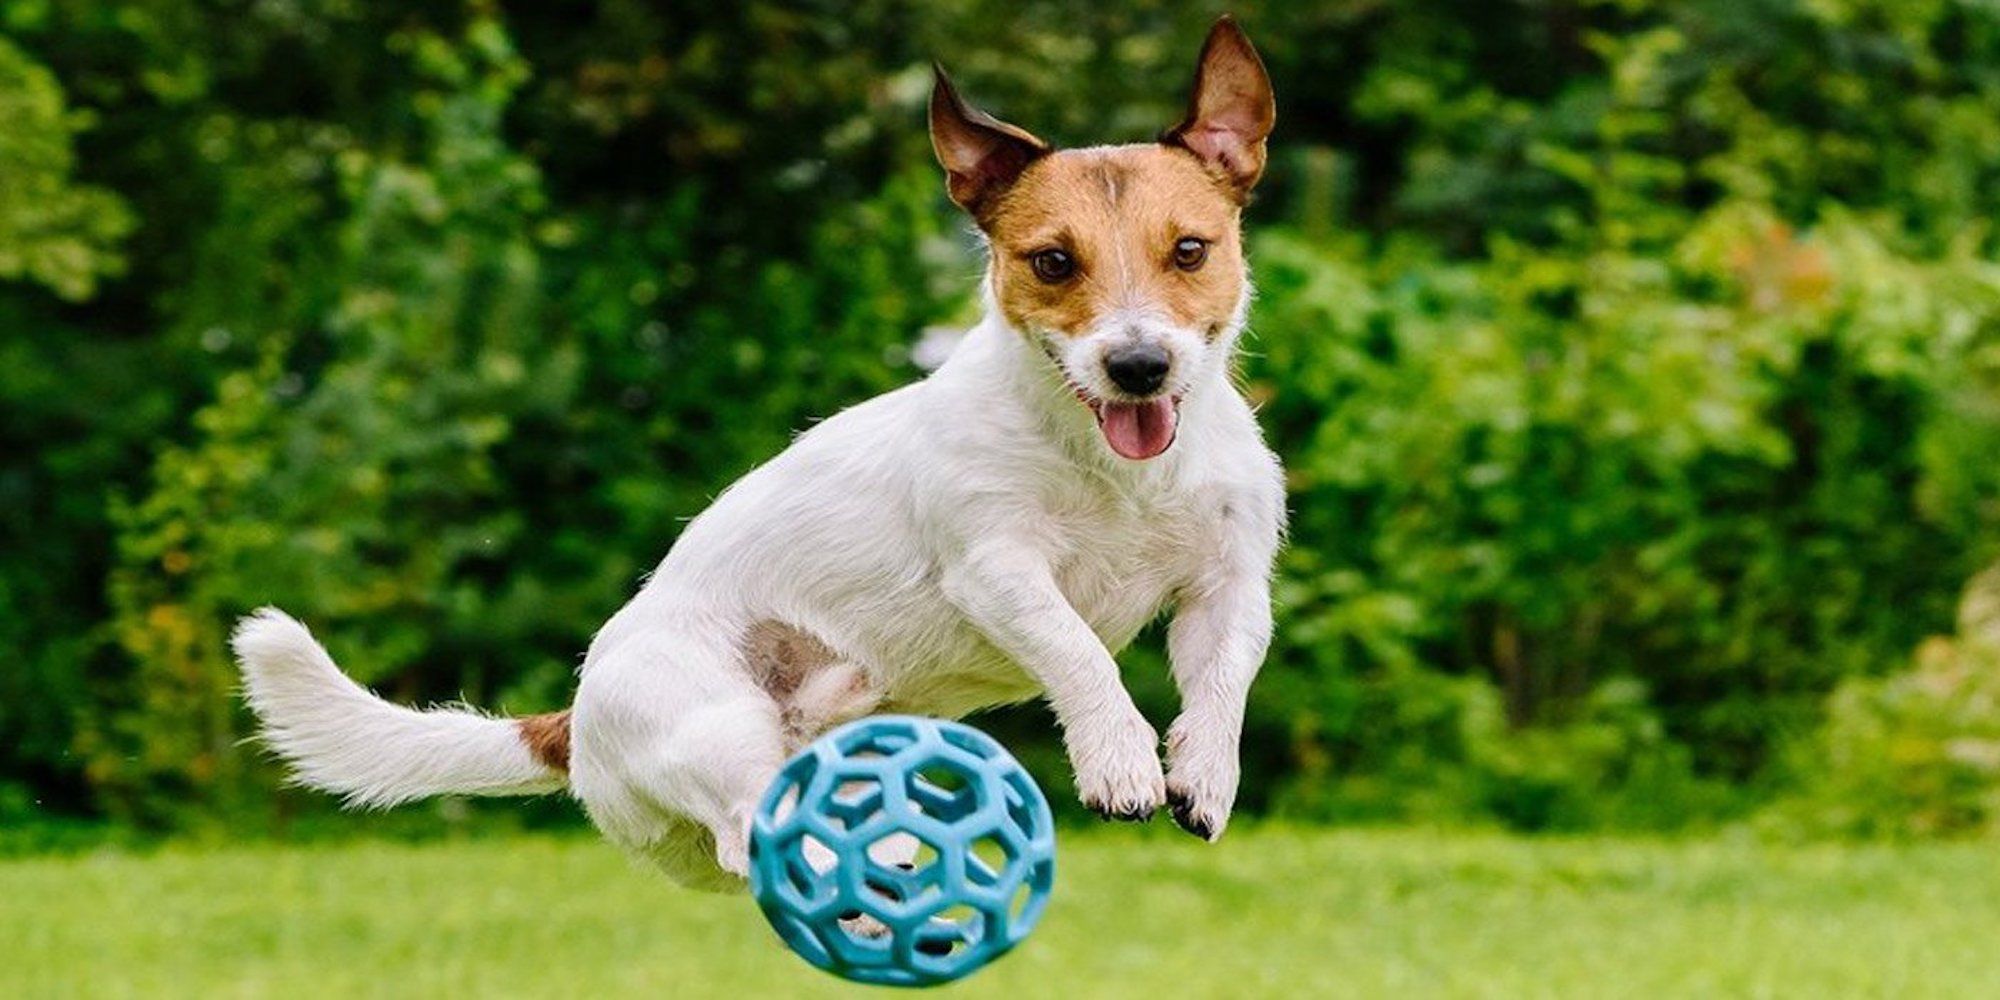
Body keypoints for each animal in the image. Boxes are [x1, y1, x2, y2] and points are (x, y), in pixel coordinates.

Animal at [234, 15, 1288, 892]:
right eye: (1055, 262)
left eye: (1190, 251)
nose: (1139, 367)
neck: (1121, 472)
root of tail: (574, 724)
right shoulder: (997, 568)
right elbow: (1077, 652)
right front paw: (1118, 759)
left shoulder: (1228, 584)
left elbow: (1223, 680)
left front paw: (1203, 773)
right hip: (717, 730)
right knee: (754, 837)